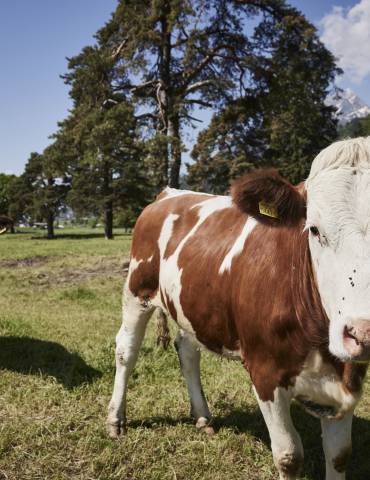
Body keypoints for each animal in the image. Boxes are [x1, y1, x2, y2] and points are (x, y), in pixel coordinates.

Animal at [106, 137, 370, 478]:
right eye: (313, 229)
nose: (364, 333)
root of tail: (169, 193)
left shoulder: (347, 379)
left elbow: (339, 454)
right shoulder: (264, 371)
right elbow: (289, 455)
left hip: (190, 304)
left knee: (187, 350)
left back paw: (202, 416)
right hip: (137, 287)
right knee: (126, 348)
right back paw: (115, 419)